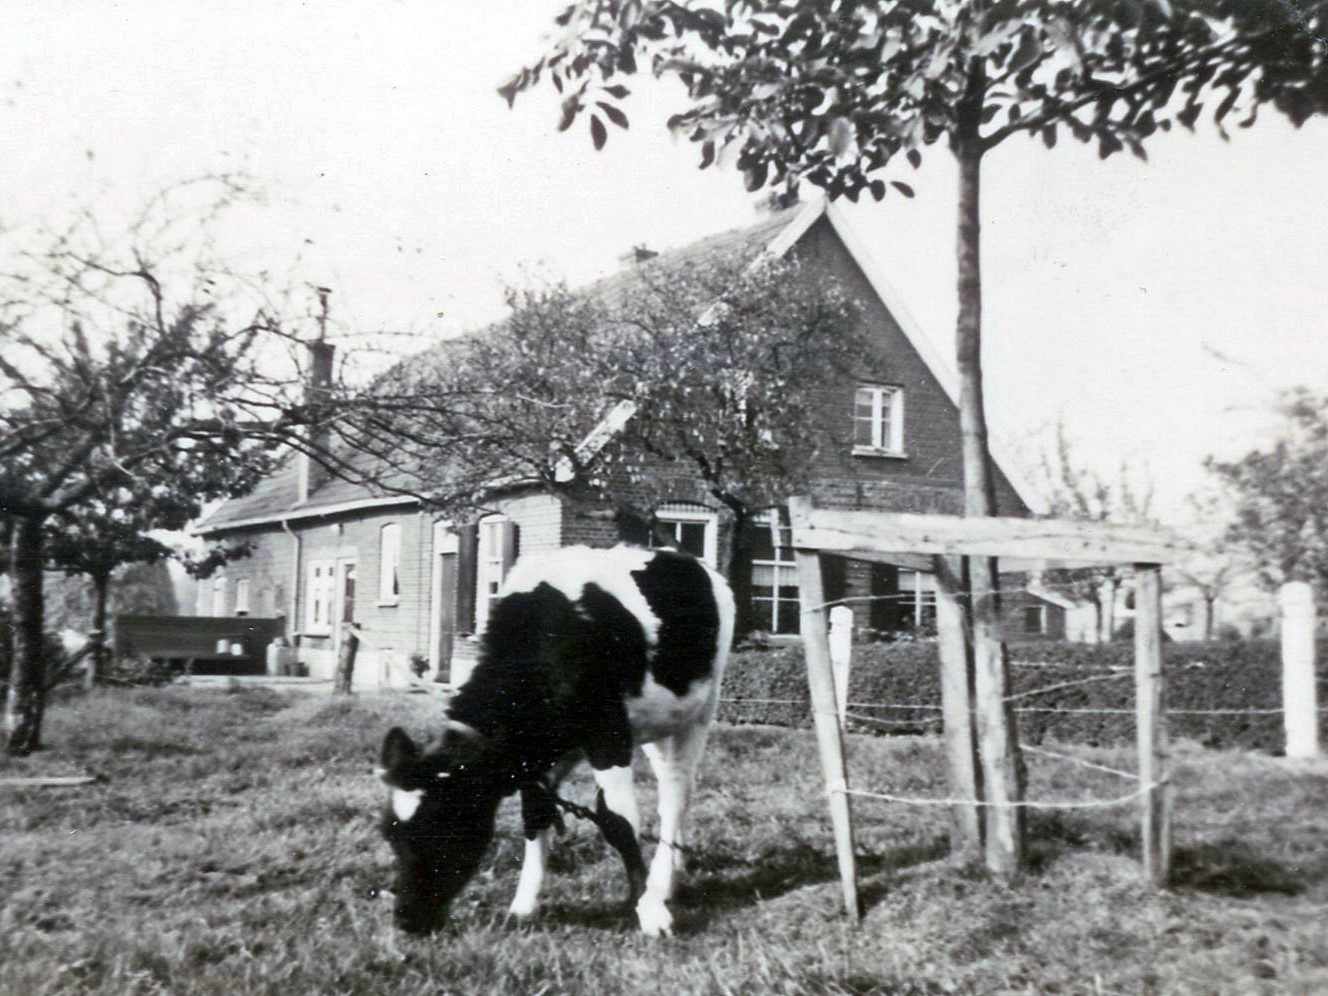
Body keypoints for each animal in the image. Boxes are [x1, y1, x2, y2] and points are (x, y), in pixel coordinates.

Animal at [377, 547, 738, 934]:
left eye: (445, 825)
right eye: (390, 833)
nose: (406, 919)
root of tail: (683, 556)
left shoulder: (608, 733)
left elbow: (620, 821)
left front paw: (649, 911)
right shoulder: (531, 757)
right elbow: (536, 817)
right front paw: (523, 906)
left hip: (700, 711)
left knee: (675, 795)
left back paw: (662, 880)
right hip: (656, 723)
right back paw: (674, 869)